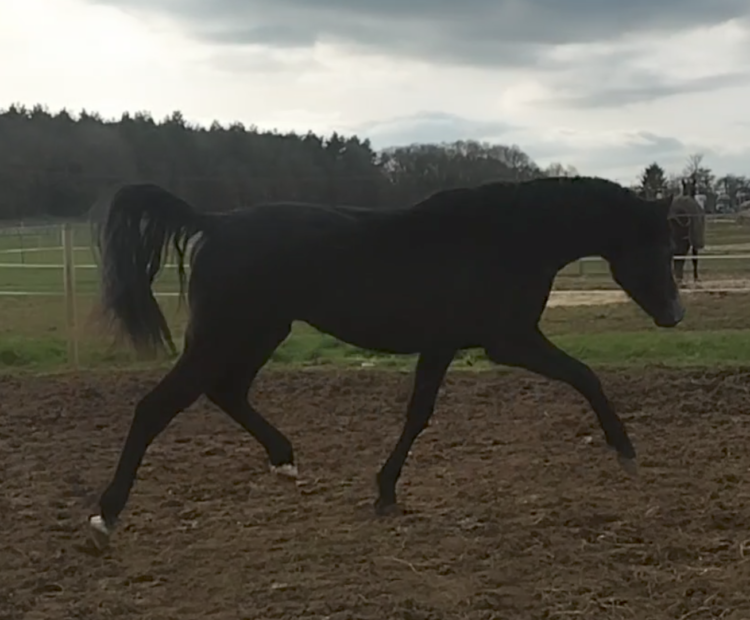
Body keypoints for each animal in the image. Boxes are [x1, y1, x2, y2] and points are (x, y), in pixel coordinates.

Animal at [86, 176, 684, 550]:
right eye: (654, 245)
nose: (676, 315)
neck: (507, 239)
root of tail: (213, 223)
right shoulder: (509, 341)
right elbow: (585, 375)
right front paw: (626, 453)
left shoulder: (444, 345)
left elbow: (418, 414)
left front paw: (385, 493)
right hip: (225, 336)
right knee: (155, 407)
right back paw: (103, 518)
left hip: (260, 333)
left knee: (226, 392)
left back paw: (285, 460)